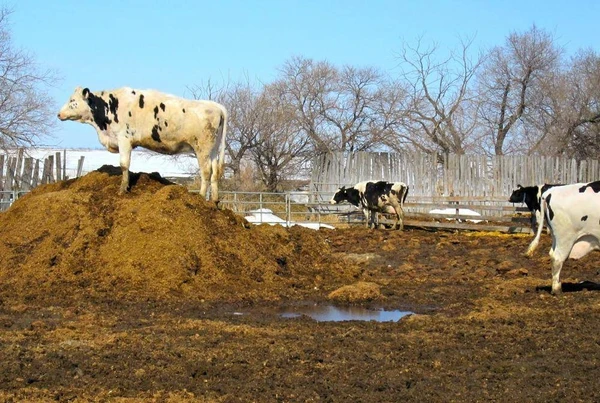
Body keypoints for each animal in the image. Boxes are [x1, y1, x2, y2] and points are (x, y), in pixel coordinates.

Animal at [58, 86, 227, 204]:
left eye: (72, 101)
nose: (59, 114)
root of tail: (217, 106)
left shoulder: (124, 139)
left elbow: (124, 164)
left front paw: (122, 189)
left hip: (202, 148)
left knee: (206, 171)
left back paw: (201, 196)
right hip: (212, 149)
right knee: (214, 171)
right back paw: (214, 200)